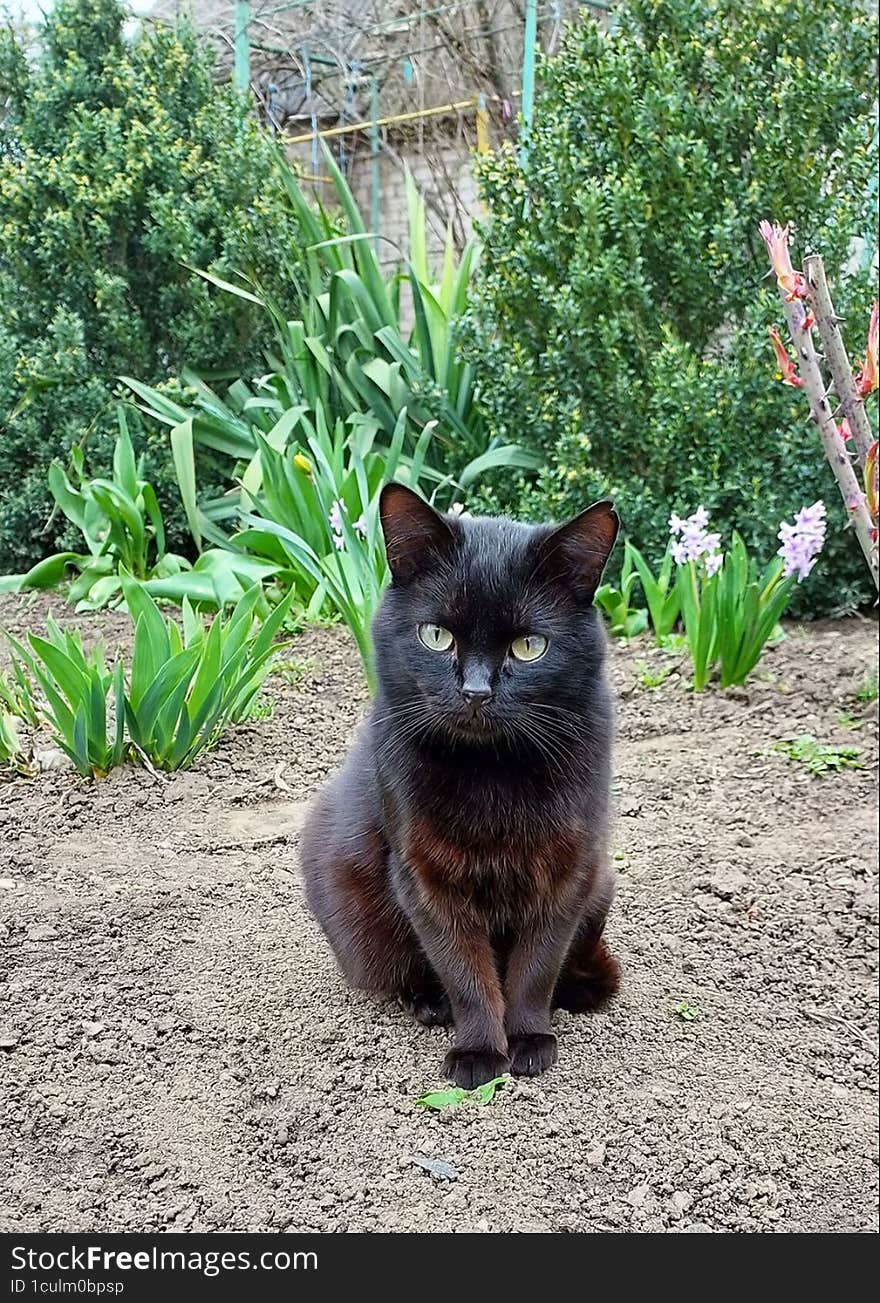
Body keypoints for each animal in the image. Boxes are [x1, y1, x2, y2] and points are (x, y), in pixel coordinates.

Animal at [299, 484, 623, 1084]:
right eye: (436, 635)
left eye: (529, 646)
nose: (475, 691)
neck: (491, 773)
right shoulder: (425, 876)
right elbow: (466, 971)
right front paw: (478, 1052)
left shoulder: (568, 871)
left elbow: (536, 968)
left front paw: (529, 1038)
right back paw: (430, 1004)